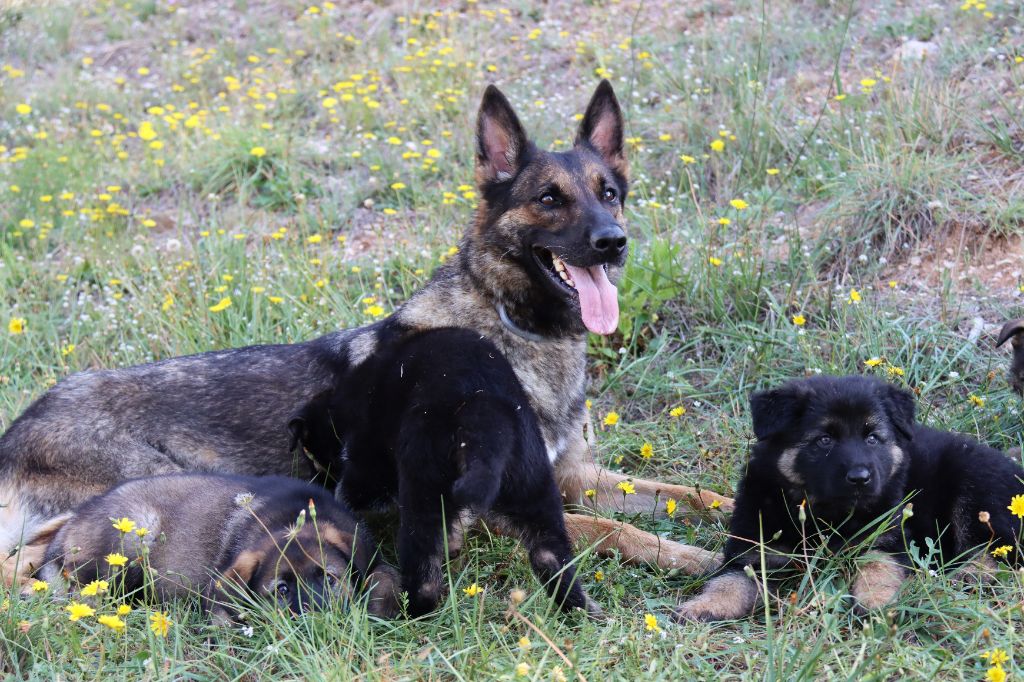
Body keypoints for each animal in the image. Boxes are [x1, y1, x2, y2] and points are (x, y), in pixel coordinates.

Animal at [36, 473, 397, 622]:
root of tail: (70, 523)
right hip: (134, 536)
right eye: (281, 590)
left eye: (331, 579)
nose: (320, 619)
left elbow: (385, 578)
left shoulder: (371, 557)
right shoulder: (219, 588)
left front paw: (378, 610)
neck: (289, 520)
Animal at [288, 327, 598, 618]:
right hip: (534, 482)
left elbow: (352, 491)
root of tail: (481, 407)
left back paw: (409, 611)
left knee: (424, 572)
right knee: (551, 555)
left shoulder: (367, 461)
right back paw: (580, 608)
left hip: (424, 486)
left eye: (314, 457)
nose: (316, 483)